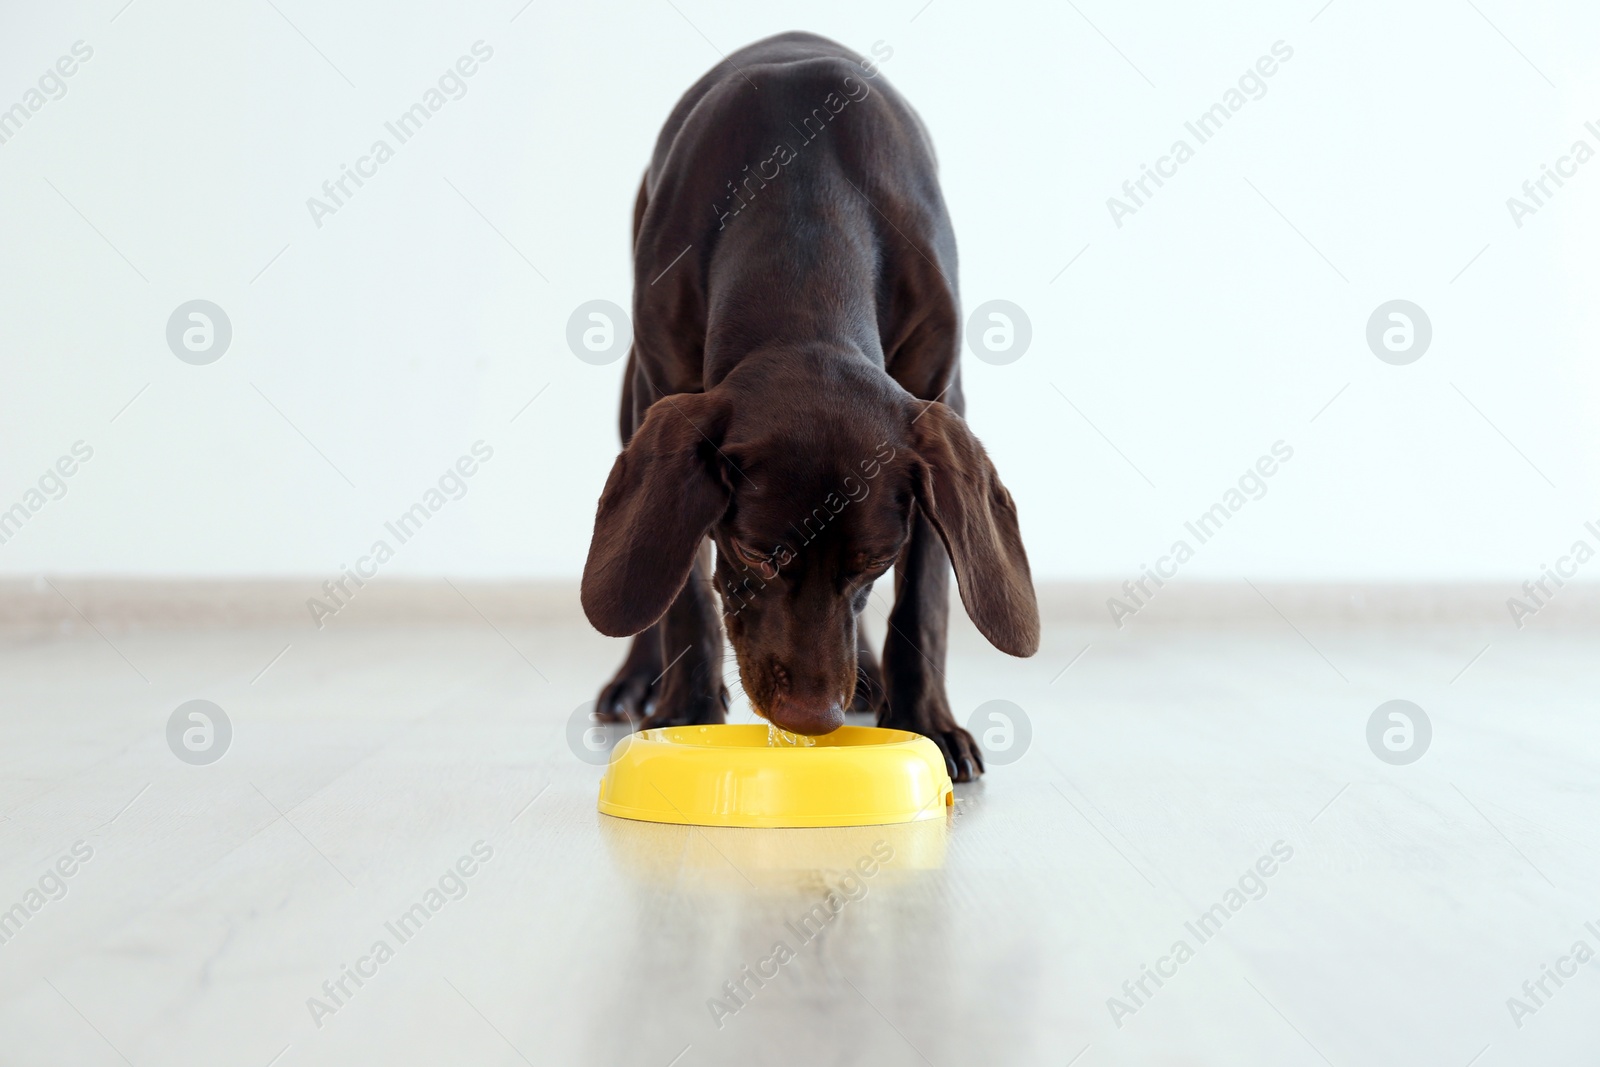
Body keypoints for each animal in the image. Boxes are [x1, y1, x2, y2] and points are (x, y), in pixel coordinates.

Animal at [582, 29, 1043, 780]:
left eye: (874, 562)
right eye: (755, 553)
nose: (813, 718)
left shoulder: (938, 403)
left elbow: (925, 598)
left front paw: (925, 722)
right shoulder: (665, 395)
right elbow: (682, 591)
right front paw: (685, 710)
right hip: (633, 402)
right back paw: (638, 678)